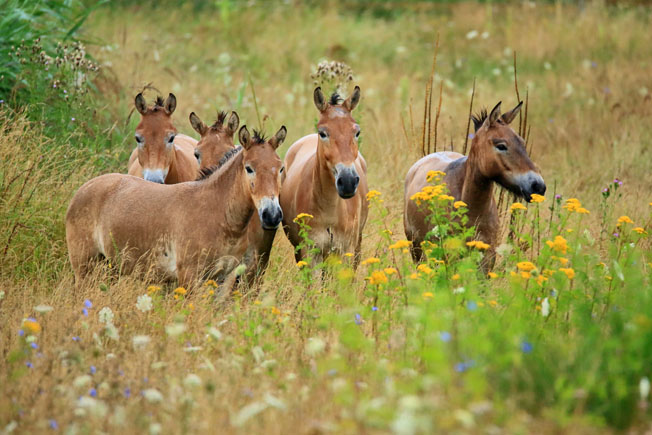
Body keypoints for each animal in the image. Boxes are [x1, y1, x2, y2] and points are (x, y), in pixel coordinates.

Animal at [282, 87, 370, 268]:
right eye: (322, 133)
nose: (348, 182)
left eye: (357, 132)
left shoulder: (346, 251)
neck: (331, 212)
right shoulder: (311, 252)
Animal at [402, 102, 544, 270]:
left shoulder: (487, 257)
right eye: (501, 145)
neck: (472, 208)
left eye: (522, 142)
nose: (538, 186)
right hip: (416, 247)